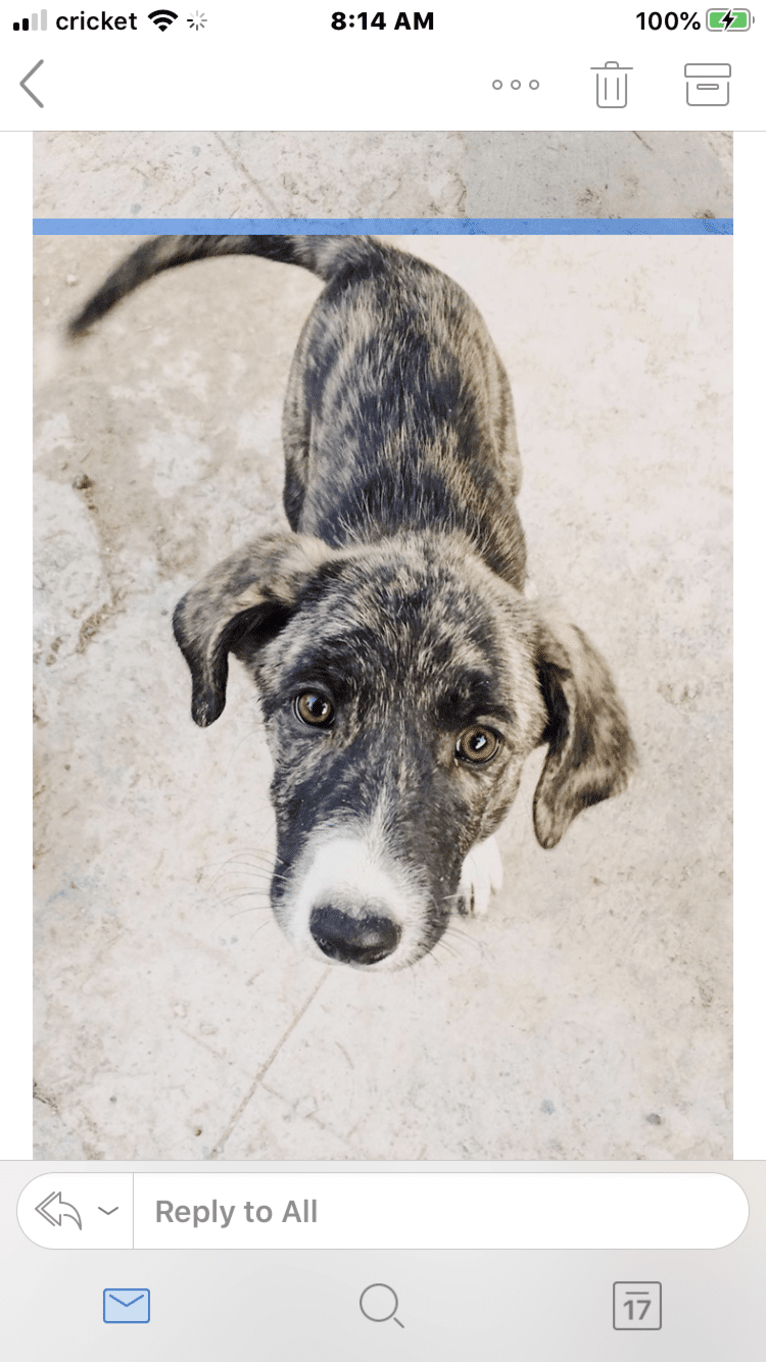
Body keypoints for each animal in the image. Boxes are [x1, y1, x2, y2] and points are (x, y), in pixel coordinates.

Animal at [70, 239, 632, 975]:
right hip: (298, 431)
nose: (349, 936)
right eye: (314, 707)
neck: (424, 532)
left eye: (479, 743)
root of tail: (375, 255)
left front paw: (479, 860)